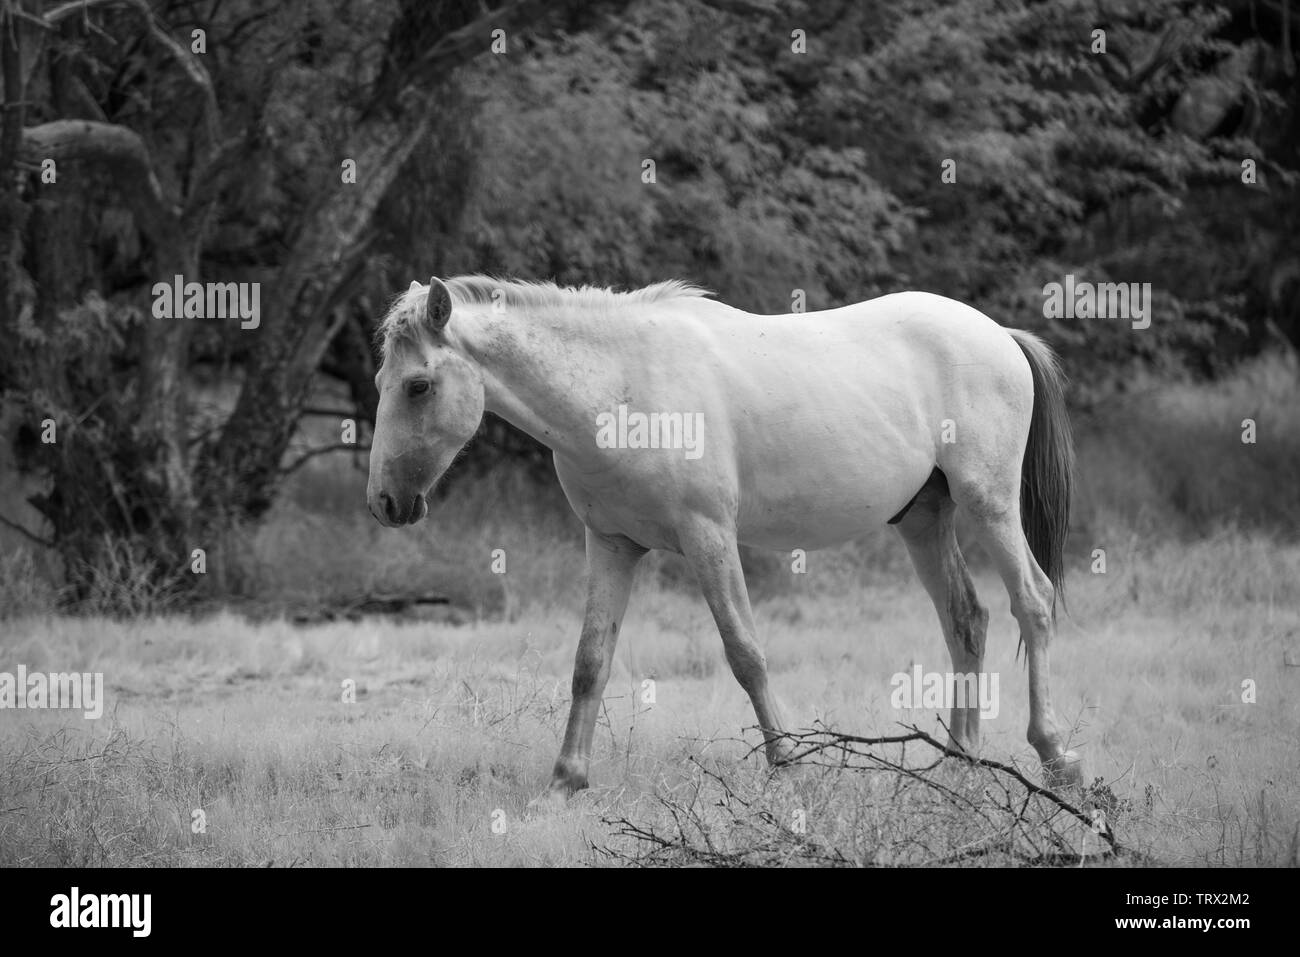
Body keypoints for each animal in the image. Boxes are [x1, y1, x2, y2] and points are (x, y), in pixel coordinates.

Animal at [369, 274, 1086, 800]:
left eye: (418, 385)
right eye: (384, 383)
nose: (384, 502)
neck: (622, 386)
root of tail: (999, 335)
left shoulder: (708, 537)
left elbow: (745, 653)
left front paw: (787, 761)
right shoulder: (610, 544)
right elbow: (589, 662)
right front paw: (566, 779)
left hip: (988, 504)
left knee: (1033, 601)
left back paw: (1054, 753)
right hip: (923, 518)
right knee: (966, 619)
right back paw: (960, 761)